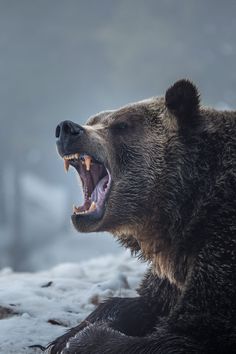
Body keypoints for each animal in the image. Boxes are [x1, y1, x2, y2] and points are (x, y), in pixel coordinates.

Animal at [46, 80, 236, 354]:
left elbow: (187, 333)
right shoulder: (172, 267)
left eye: (122, 125)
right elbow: (144, 302)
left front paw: (83, 339)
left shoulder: (220, 243)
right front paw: (67, 335)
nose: (67, 129)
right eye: (93, 119)